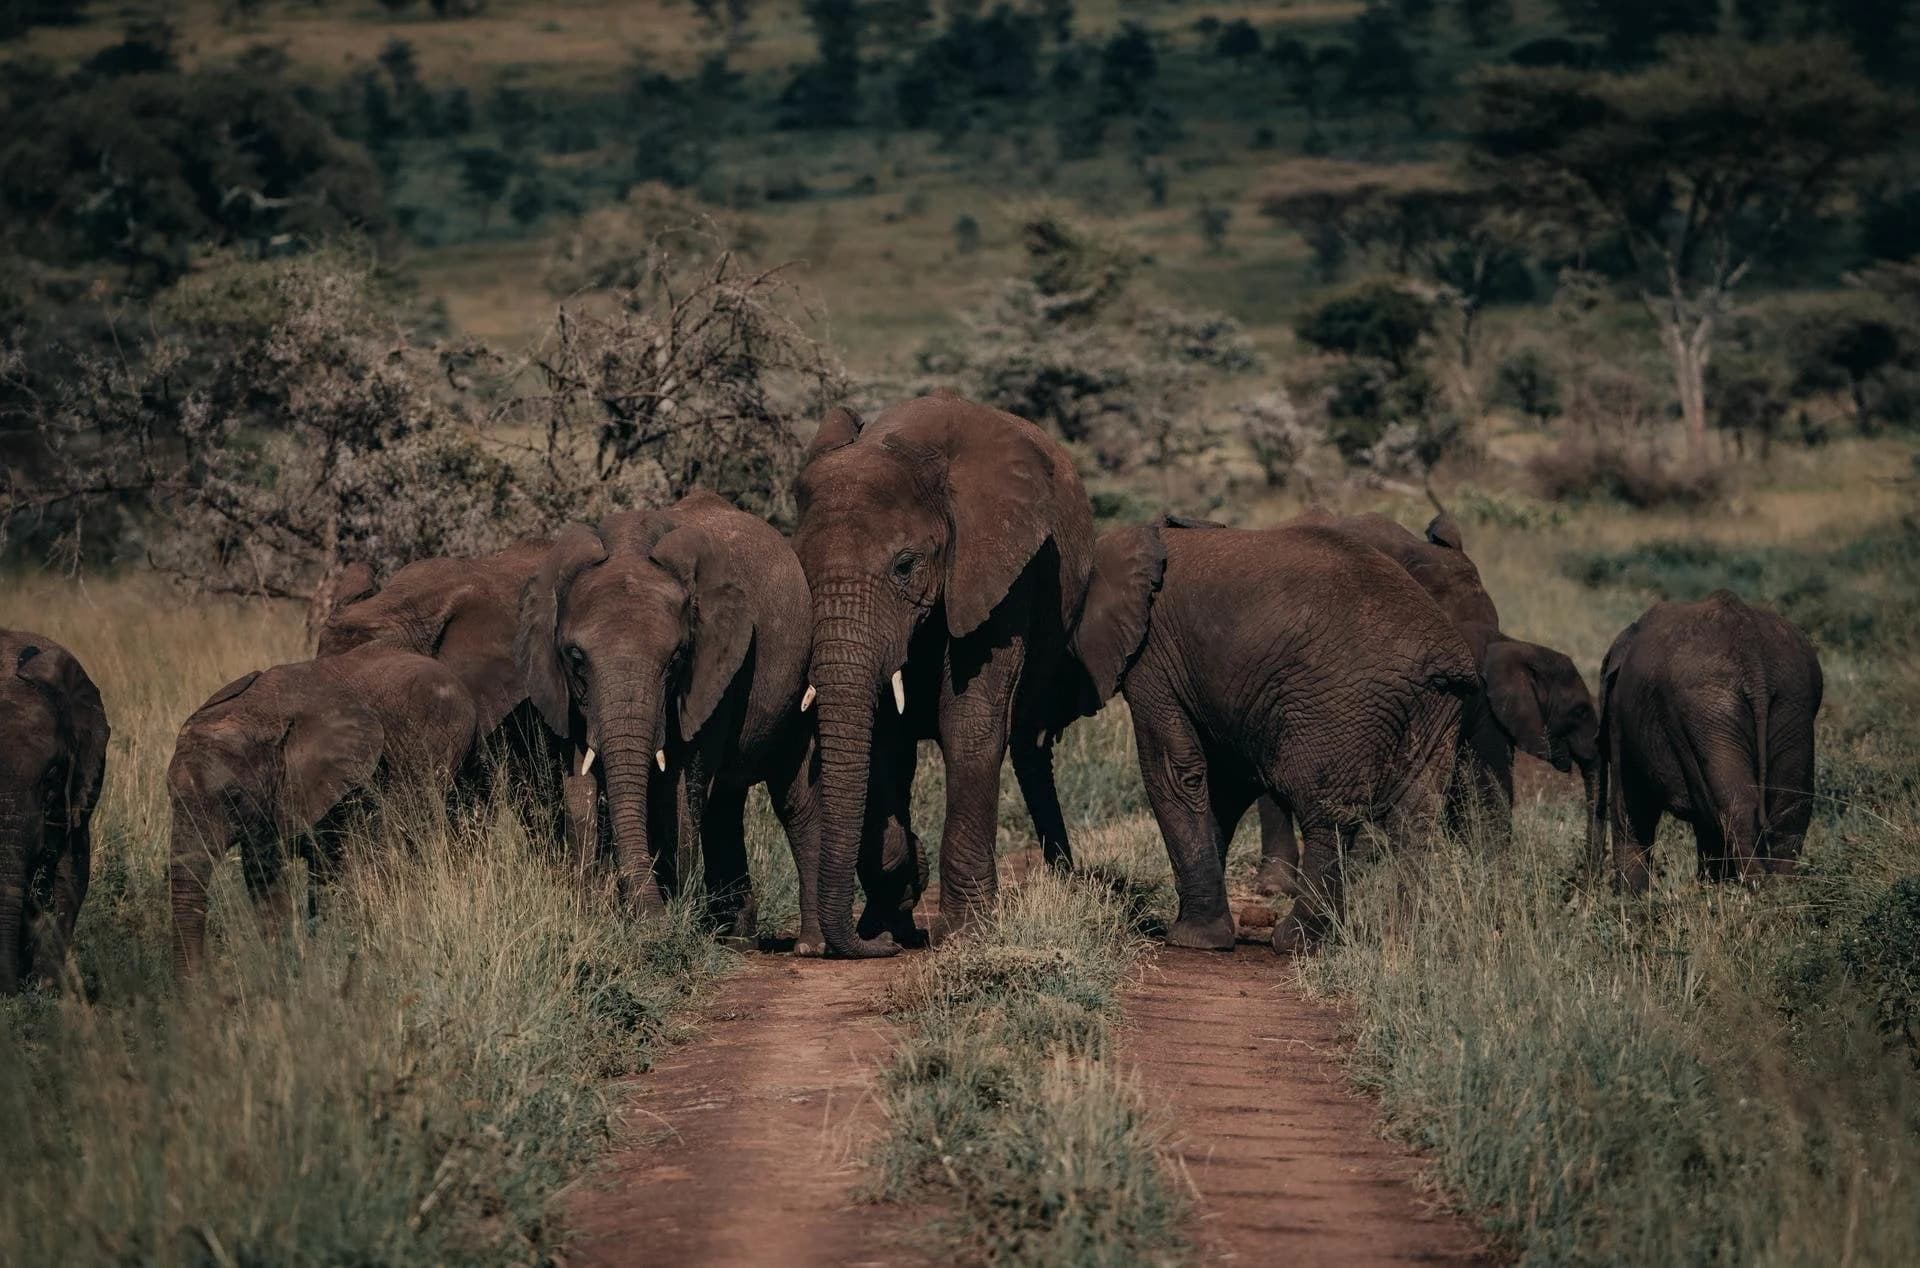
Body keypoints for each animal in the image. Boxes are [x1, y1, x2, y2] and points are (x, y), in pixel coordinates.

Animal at [168, 642, 478, 976]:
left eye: (234, 797)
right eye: (169, 795)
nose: (198, 982)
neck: (256, 712)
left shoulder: (350, 783)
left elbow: (343, 865)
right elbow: (263, 875)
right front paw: (285, 966)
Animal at [514, 490, 820, 947]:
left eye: (676, 659)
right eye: (575, 658)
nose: (649, 924)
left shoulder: (718, 669)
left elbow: (679, 787)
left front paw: (671, 924)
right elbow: (580, 788)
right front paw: (590, 919)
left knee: (792, 800)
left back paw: (808, 943)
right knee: (725, 803)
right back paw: (736, 939)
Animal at [793, 392, 1094, 957]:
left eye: (905, 566)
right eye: (798, 566)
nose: (872, 950)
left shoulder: (998, 567)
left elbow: (969, 723)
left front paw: (967, 933)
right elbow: (883, 738)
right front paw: (896, 905)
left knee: (1027, 739)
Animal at [1072, 518, 1479, 952]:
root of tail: (1439, 659)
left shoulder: (1154, 663)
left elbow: (1175, 773)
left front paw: (1190, 940)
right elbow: (1226, 784)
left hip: (1341, 707)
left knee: (1328, 817)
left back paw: (1296, 941)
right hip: (1436, 711)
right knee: (1415, 821)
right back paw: (1398, 943)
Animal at [1596, 591, 1822, 891]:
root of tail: (1752, 653)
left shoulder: (1621, 721)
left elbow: (1632, 805)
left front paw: (1633, 899)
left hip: (1710, 707)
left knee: (1735, 806)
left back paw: (1754, 889)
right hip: (1790, 700)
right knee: (1790, 804)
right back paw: (1778, 891)